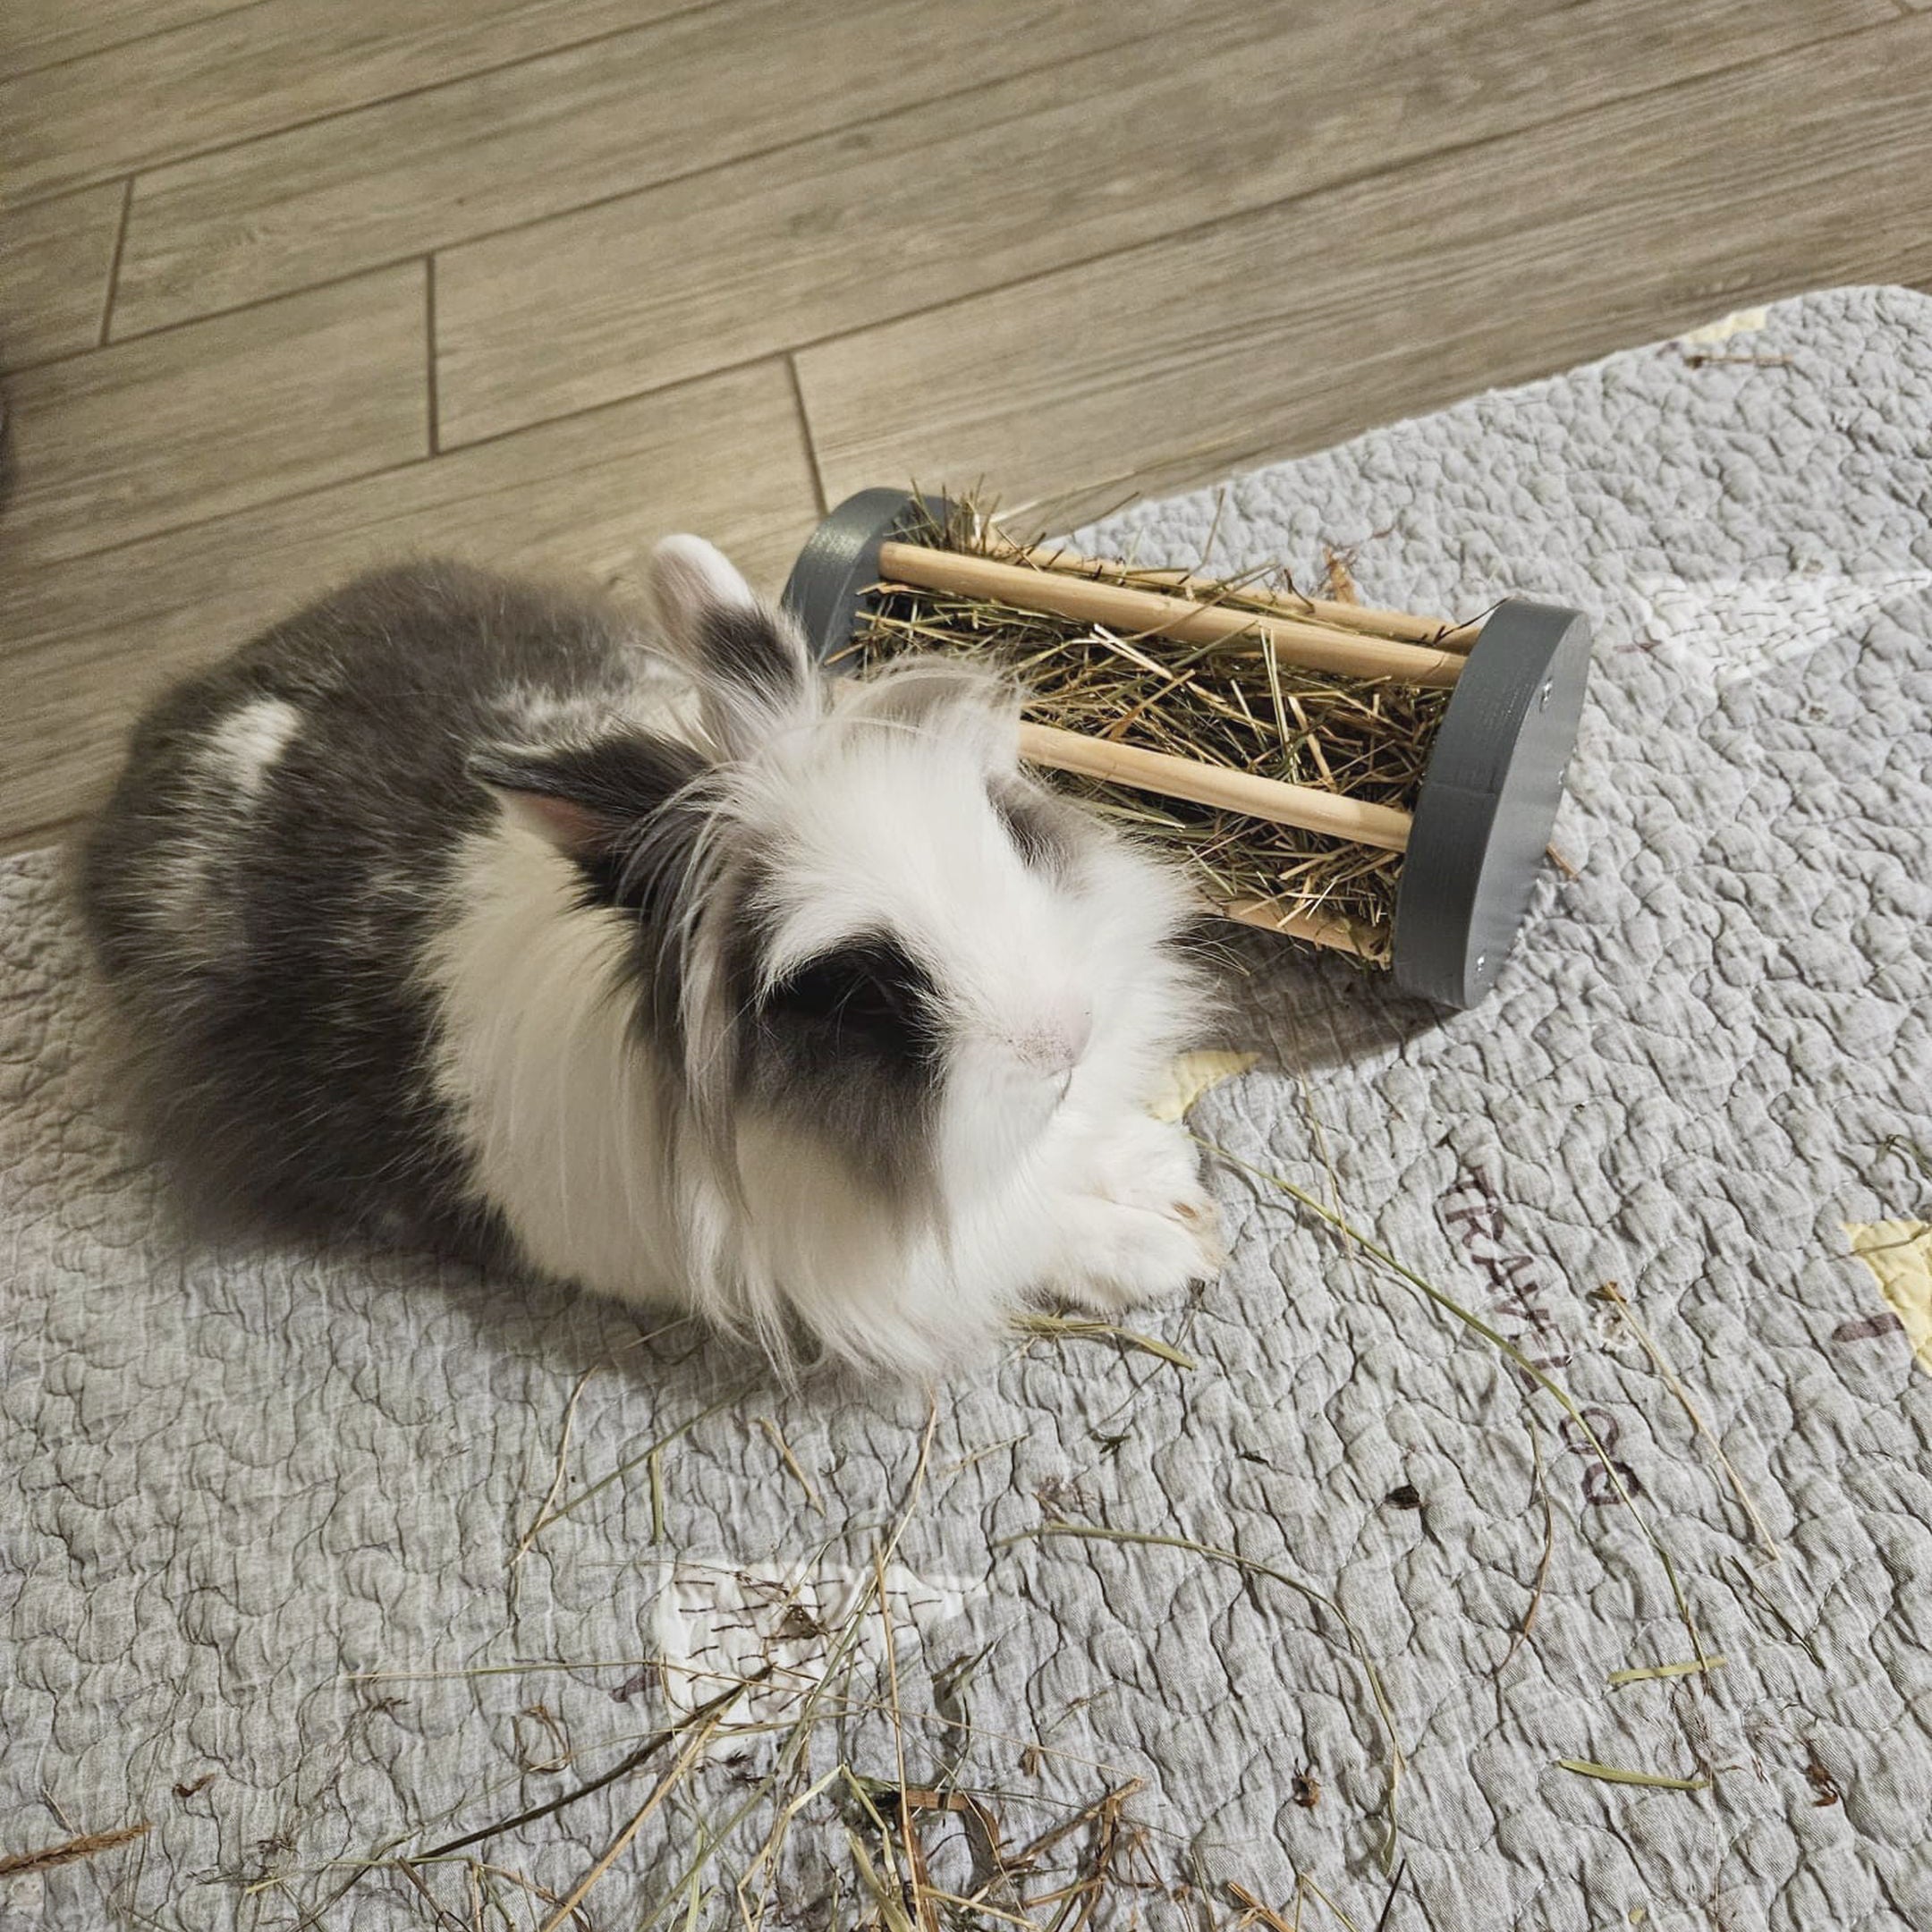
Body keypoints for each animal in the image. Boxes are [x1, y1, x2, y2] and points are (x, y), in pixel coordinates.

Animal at [77, 537, 1225, 1376]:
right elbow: (1011, 1237)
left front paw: (1158, 1171)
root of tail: (164, 727)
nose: (1063, 1039)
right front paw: (1157, 1246)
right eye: (848, 994)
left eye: (1004, 828)